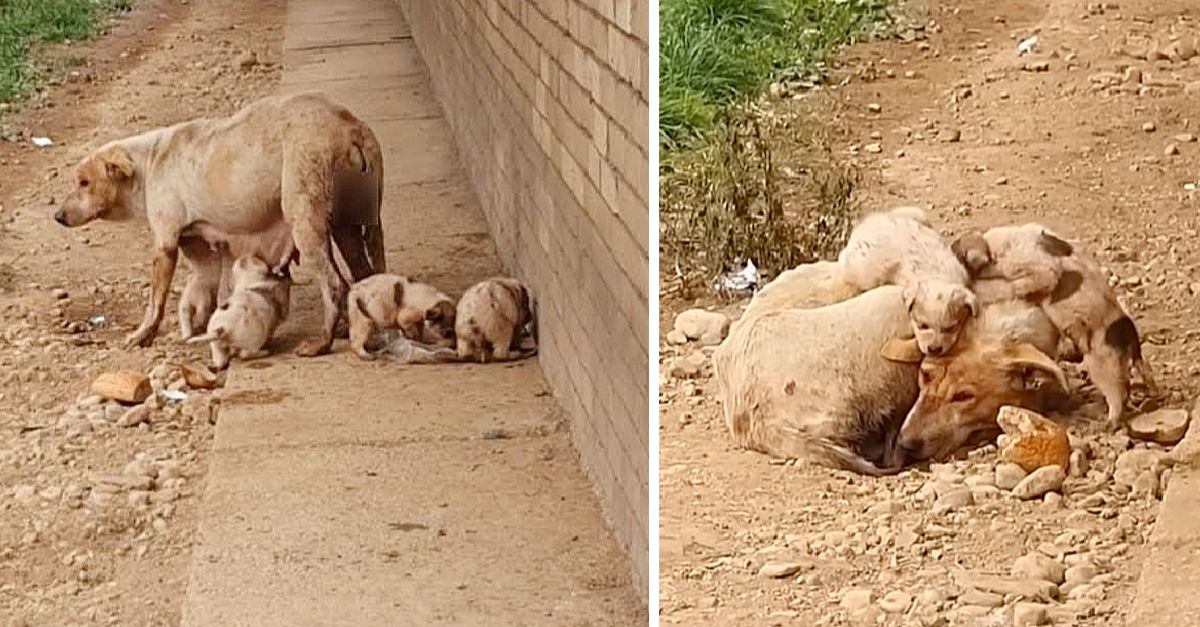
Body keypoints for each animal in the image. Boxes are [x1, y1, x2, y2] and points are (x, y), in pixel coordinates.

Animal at [55, 91, 384, 355]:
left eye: (84, 182)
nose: (57, 216)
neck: (148, 163)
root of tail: (349, 126)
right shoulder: (201, 252)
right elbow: (204, 294)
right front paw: (198, 329)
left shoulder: (165, 245)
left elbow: (155, 301)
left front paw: (143, 335)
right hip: (350, 226)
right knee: (363, 276)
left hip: (307, 224)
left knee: (335, 285)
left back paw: (322, 342)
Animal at [950, 222, 1156, 427]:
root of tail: (1129, 337)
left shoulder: (1039, 270)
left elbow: (1017, 284)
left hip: (1103, 363)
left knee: (1118, 391)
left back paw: (1108, 423)